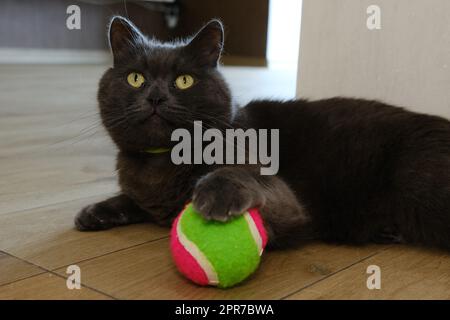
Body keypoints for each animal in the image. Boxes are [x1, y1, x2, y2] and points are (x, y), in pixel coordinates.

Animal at [75, 16, 450, 250]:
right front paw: (95, 211)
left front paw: (217, 192)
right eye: (135, 78)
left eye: (184, 80)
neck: (161, 165)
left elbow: (244, 176)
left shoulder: (288, 204)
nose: (155, 96)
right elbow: (132, 199)